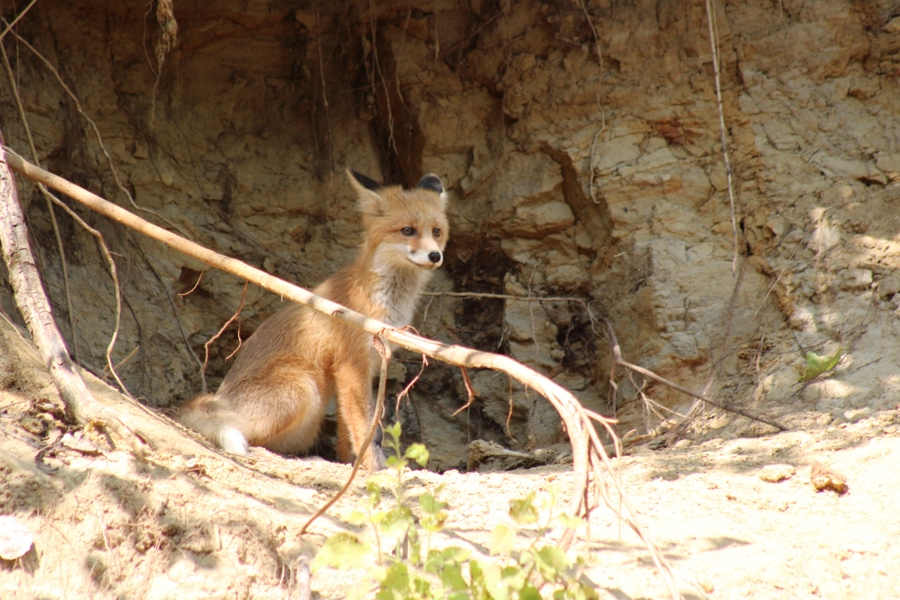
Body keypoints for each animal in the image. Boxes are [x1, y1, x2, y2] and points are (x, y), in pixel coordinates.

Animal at [179, 168, 450, 468]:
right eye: (407, 230)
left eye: (436, 232)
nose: (435, 255)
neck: (383, 299)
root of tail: (220, 397)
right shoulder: (351, 363)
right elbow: (365, 430)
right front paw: (373, 469)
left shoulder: (365, 367)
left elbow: (348, 429)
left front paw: (348, 463)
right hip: (303, 387)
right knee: (246, 433)